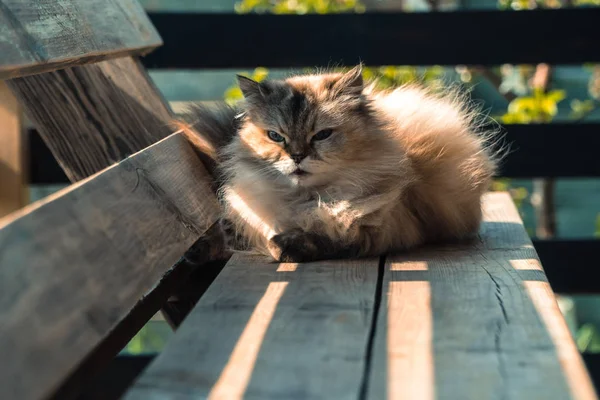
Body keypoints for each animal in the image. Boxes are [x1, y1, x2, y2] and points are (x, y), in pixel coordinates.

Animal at [176, 65, 500, 262]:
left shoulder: (381, 231)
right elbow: (232, 233)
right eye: (275, 137)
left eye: (322, 135)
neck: (310, 200)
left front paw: (285, 247)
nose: (297, 156)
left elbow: (327, 241)